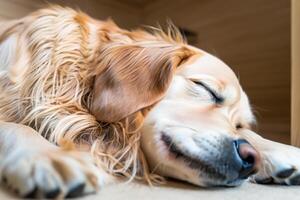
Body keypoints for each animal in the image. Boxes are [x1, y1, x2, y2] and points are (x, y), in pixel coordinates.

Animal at [0, 5, 300, 198]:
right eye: (206, 89)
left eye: (239, 124)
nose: (250, 158)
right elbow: (17, 126)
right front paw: (49, 156)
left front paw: (280, 151)